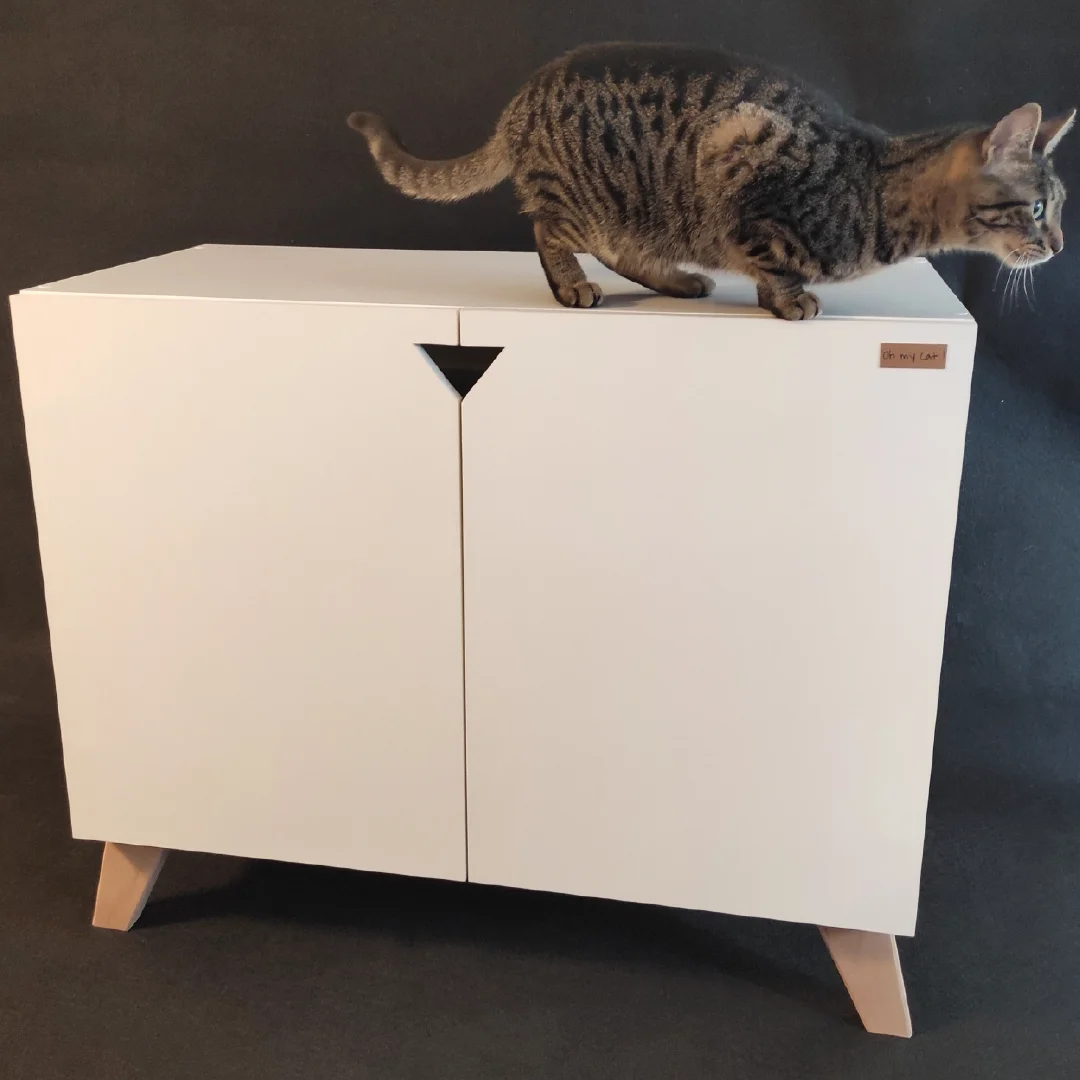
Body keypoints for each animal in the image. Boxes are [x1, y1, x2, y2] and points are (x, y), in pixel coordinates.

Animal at [348, 42, 1074, 319]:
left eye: (1058, 208)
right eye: (1039, 209)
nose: (1061, 246)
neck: (875, 188)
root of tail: (521, 101)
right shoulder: (739, 147)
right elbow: (768, 260)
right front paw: (788, 298)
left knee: (621, 247)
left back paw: (677, 279)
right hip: (591, 196)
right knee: (548, 228)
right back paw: (572, 285)